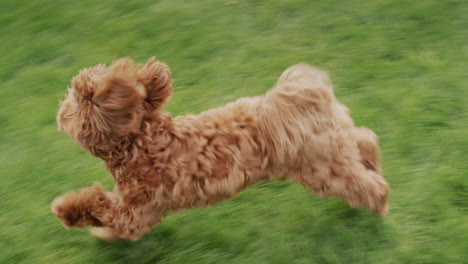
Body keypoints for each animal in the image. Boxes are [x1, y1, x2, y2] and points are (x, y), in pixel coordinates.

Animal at [51, 56, 390, 240]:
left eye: (74, 104)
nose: (59, 107)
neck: (141, 139)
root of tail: (304, 100)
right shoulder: (134, 209)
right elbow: (106, 212)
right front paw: (101, 232)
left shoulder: (138, 212)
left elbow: (98, 205)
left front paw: (65, 210)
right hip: (336, 141)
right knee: (365, 139)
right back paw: (373, 161)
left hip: (321, 169)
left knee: (369, 186)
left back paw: (380, 203)